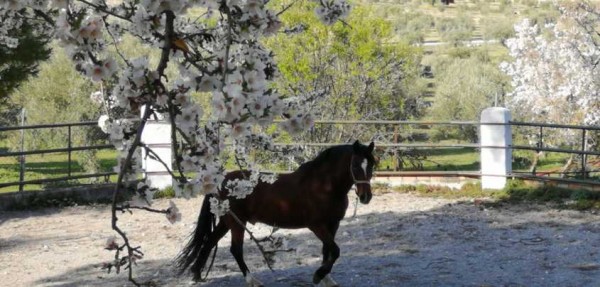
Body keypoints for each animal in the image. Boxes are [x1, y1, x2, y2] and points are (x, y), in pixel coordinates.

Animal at [176, 141, 378, 286]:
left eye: (371, 165)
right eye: (356, 165)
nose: (365, 197)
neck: (324, 186)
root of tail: (220, 181)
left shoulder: (333, 224)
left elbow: (327, 250)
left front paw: (326, 278)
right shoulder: (316, 225)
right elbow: (335, 250)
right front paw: (318, 276)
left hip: (227, 222)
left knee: (209, 242)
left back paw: (197, 274)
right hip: (236, 223)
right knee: (235, 249)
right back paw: (252, 281)